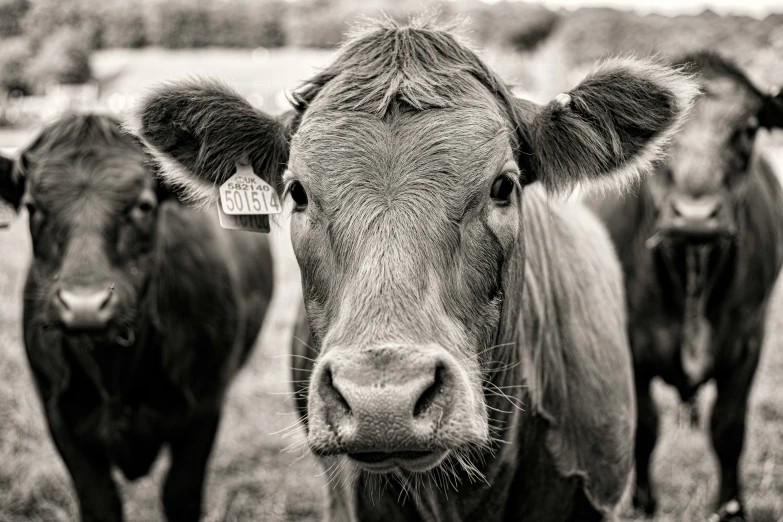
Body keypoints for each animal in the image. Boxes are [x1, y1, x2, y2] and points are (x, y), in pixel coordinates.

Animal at [0, 114, 276, 520]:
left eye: (144, 206)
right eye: (33, 207)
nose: (85, 305)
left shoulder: (205, 410)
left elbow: (180, 496)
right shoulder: (61, 419)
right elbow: (100, 504)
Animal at [588, 49, 783, 520]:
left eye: (748, 129)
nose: (695, 216)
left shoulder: (749, 340)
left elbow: (728, 428)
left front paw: (730, 506)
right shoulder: (632, 342)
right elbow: (646, 426)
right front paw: (643, 501)